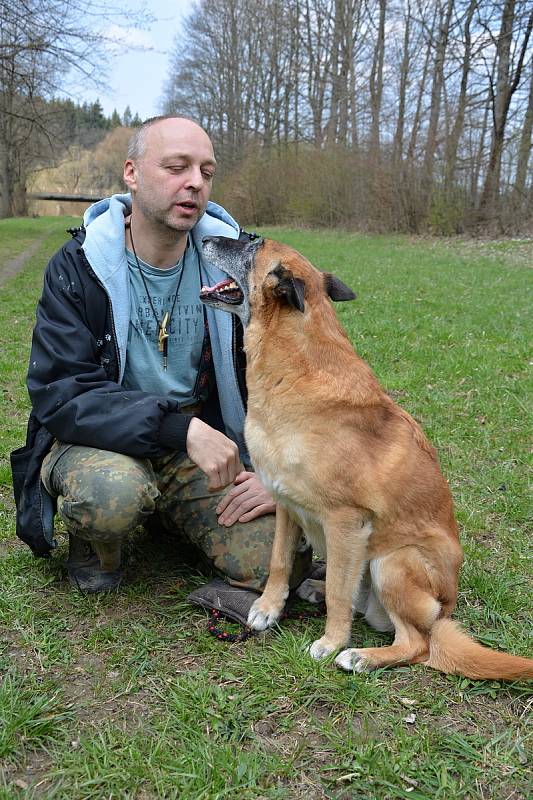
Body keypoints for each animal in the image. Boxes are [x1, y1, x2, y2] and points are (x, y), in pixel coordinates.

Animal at [201, 234, 532, 680]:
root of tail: (445, 610)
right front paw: (269, 608)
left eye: (251, 243)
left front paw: (331, 642)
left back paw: (361, 656)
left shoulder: (346, 522)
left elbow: (340, 594)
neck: (294, 369)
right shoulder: (286, 506)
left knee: (416, 643)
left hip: (392, 562)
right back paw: (313, 590)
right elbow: (279, 562)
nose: (205, 237)